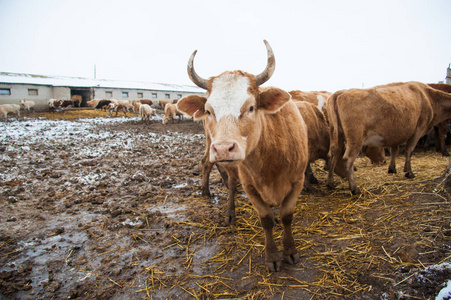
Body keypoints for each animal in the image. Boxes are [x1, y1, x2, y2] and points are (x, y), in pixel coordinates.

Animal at [175, 39, 308, 272]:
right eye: (209, 110)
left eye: (251, 107)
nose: (223, 149)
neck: (271, 160)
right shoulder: (250, 186)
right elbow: (265, 219)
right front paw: (272, 256)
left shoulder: (297, 181)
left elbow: (286, 216)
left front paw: (290, 251)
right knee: (222, 177)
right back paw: (223, 206)